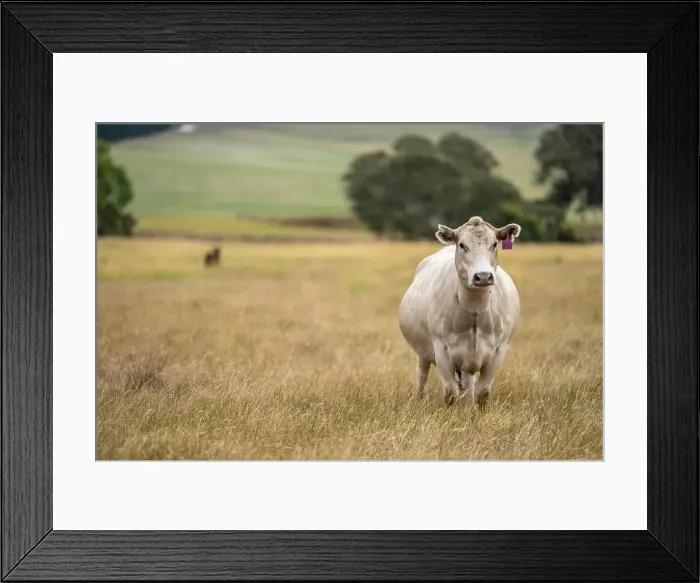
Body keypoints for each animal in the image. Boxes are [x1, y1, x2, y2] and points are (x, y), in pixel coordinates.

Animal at [398, 217, 522, 407]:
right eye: (462, 245)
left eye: (494, 244)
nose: (483, 276)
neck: (475, 312)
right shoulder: (441, 348)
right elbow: (450, 392)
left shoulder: (498, 350)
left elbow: (482, 393)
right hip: (423, 352)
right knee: (421, 375)